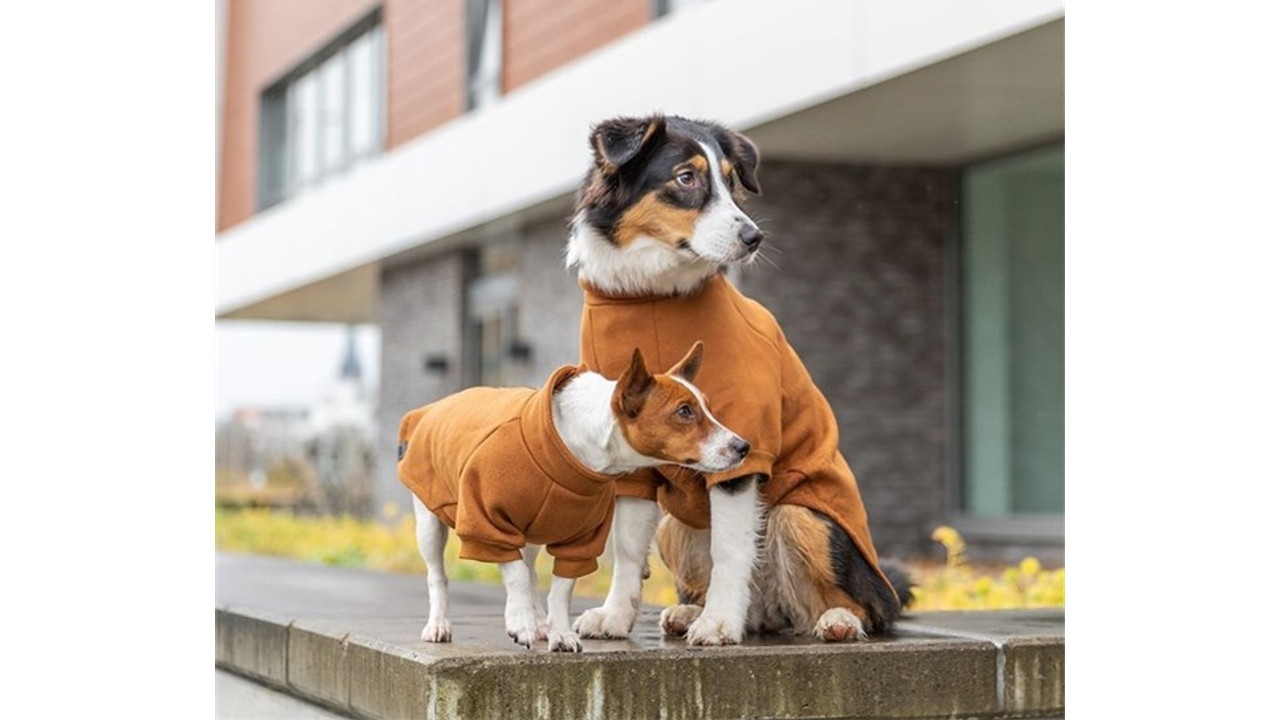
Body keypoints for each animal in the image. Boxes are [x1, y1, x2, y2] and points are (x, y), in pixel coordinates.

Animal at [394, 340, 747, 650]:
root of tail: (427, 410)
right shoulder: (487, 524)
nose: (744, 446)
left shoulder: (580, 540)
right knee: (438, 575)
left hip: (533, 531)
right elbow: (515, 576)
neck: (572, 443)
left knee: (530, 568)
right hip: (429, 524)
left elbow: (559, 590)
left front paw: (558, 633)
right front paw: (520, 622)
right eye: (684, 411)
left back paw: (539, 622)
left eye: (708, 409)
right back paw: (439, 625)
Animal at [568, 113, 911, 645]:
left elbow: (730, 551)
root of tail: (773, 611)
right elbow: (625, 547)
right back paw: (694, 611)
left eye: (731, 183)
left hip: (805, 516)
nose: (754, 238)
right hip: (675, 526)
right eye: (686, 177)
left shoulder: (741, 446)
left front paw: (718, 624)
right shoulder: (630, 451)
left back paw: (836, 620)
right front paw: (616, 617)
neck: (651, 296)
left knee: (867, 608)